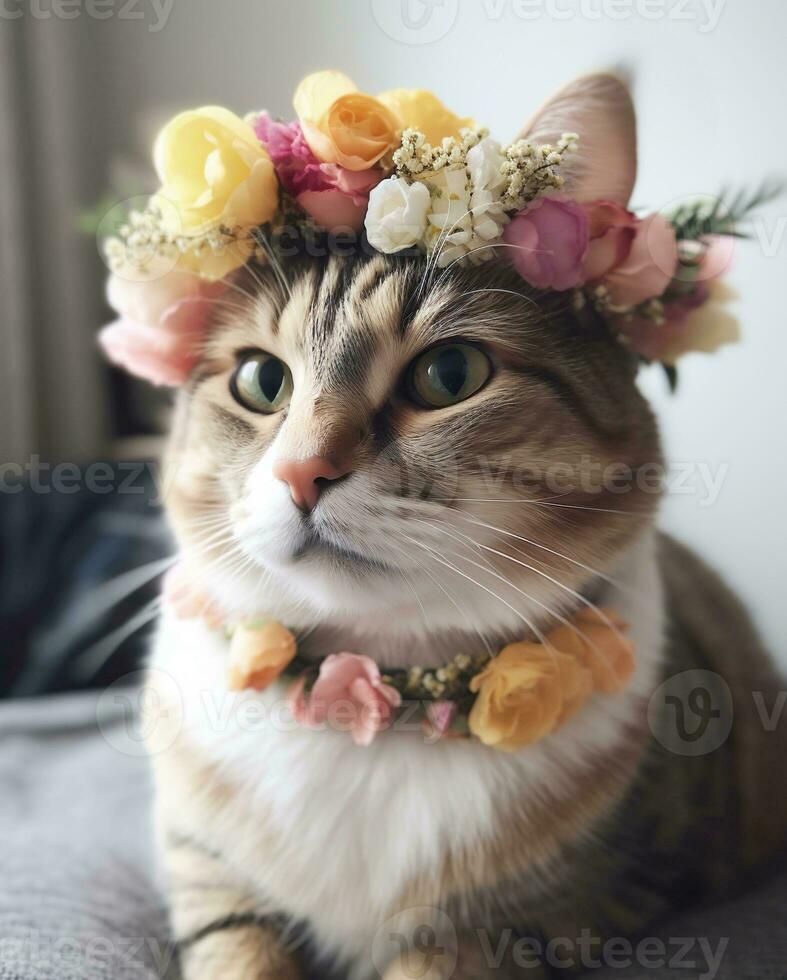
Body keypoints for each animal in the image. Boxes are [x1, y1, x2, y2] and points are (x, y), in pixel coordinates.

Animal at [146, 74, 787, 980]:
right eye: (261, 382)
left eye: (449, 374)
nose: (300, 472)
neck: (370, 709)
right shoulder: (207, 875)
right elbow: (237, 950)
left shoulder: (525, 921)